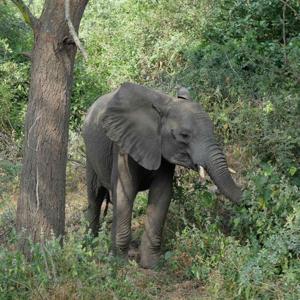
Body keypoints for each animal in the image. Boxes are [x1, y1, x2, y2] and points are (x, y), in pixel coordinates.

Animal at [82, 81, 241, 268]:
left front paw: (151, 265)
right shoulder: (122, 147)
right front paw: (120, 263)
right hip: (90, 154)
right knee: (95, 197)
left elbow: (162, 193)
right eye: (184, 135)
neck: (165, 104)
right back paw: (89, 245)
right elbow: (124, 193)